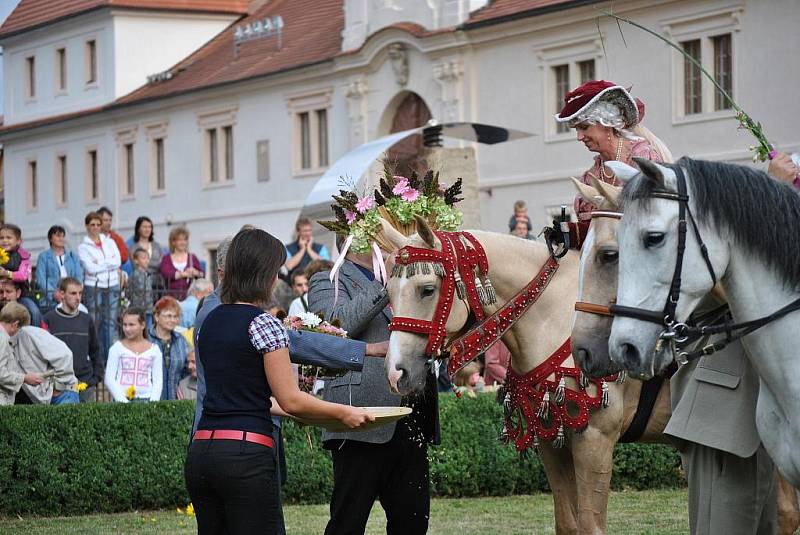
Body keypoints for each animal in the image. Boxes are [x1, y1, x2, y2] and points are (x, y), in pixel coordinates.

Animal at [378, 219, 672, 535]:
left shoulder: (594, 439)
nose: (396, 372)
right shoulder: (552, 439)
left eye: (428, 289)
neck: (559, 320)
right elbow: (567, 523)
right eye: (388, 292)